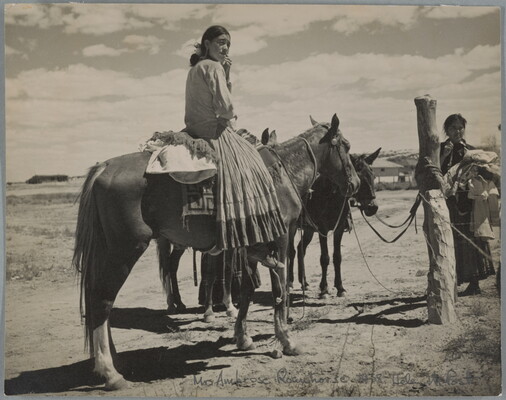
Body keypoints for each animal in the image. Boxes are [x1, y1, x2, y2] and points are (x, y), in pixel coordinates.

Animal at [72, 114, 360, 390]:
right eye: (346, 146)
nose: (355, 184)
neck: (283, 172)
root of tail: (104, 167)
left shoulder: (249, 246)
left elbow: (247, 289)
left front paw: (243, 338)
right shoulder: (280, 239)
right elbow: (279, 291)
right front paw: (287, 342)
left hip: (106, 251)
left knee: (97, 297)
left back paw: (111, 360)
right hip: (124, 251)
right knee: (102, 300)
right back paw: (111, 373)